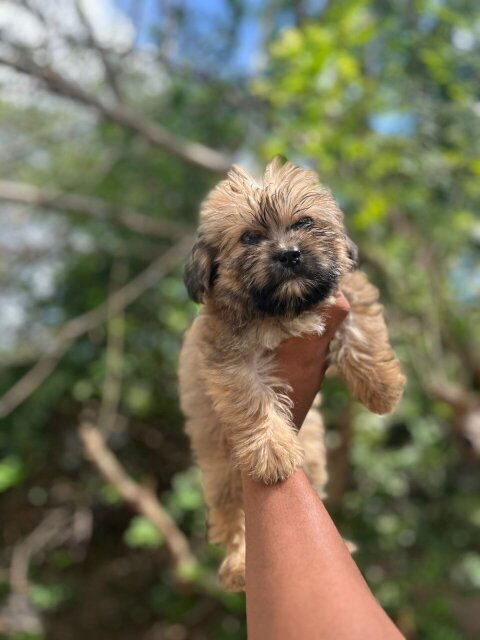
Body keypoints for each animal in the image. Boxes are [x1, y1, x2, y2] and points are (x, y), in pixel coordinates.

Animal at [178, 159, 404, 592]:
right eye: (250, 237)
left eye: (304, 223)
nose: (289, 254)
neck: (283, 309)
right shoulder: (229, 358)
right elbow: (253, 399)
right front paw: (271, 451)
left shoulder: (347, 291)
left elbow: (362, 330)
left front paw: (381, 386)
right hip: (220, 466)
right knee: (234, 516)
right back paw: (239, 562)